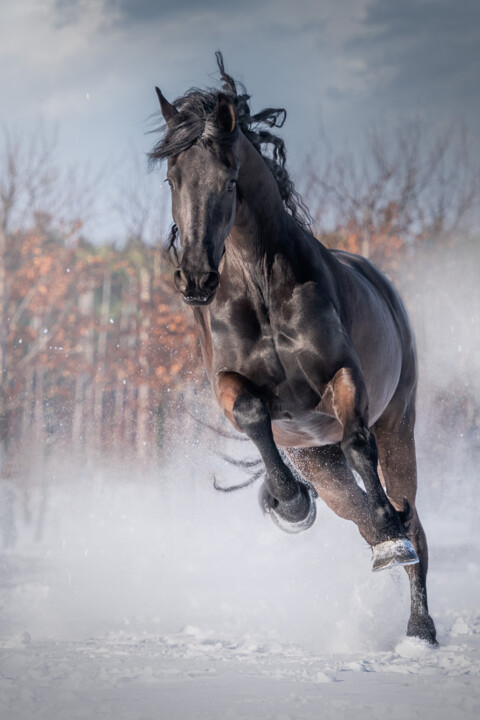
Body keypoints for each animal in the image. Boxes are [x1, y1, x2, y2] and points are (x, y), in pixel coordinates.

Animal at [149, 53, 436, 644]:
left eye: (229, 178)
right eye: (172, 178)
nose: (195, 279)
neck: (260, 287)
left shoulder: (343, 378)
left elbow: (359, 444)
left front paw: (384, 533)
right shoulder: (231, 388)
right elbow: (253, 412)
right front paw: (291, 505)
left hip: (398, 422)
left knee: (411, 518)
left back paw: (418, 622)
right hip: (317, 457)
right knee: (357, 509)